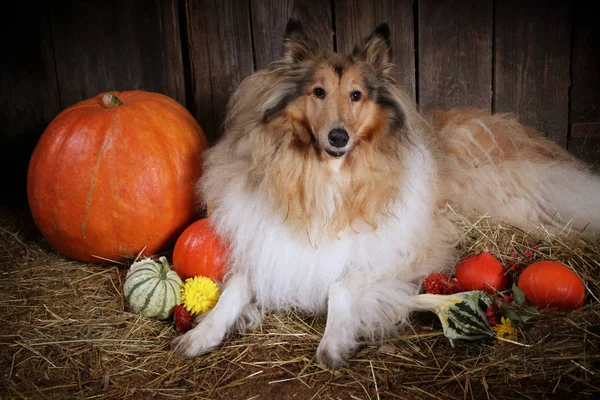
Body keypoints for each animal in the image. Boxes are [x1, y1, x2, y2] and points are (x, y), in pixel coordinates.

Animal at [173, 20, 600, 368]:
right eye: (318, 92)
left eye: (356, 95)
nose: (338, 137)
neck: (326, 177)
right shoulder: (268, 246)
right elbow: (235, 289)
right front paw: (200, 335)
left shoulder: (398, 252)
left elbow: (340, 286)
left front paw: (334, 344)